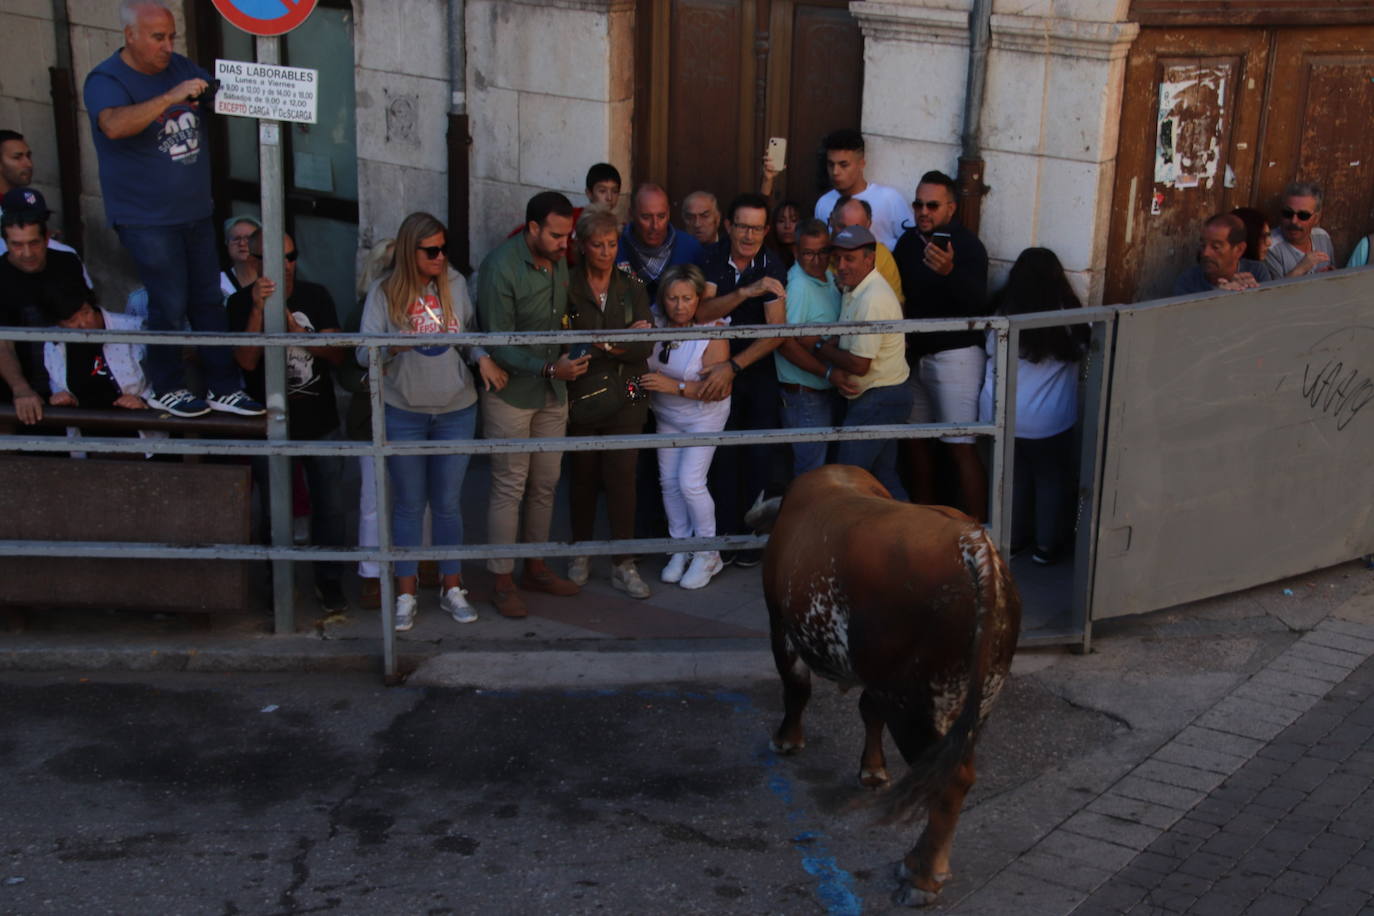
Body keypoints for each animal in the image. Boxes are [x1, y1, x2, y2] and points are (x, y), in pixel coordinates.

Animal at [752, 469, 1022, 906]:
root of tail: (974, 545)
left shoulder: (780, 625)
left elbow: (796, 688)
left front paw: (787, 740)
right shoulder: (877, 680)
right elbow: (867, 710)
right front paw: (873, 769)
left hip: (913, 705)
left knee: (950, 781)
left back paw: (921, 875)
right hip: (975, 702)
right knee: (958, 772)